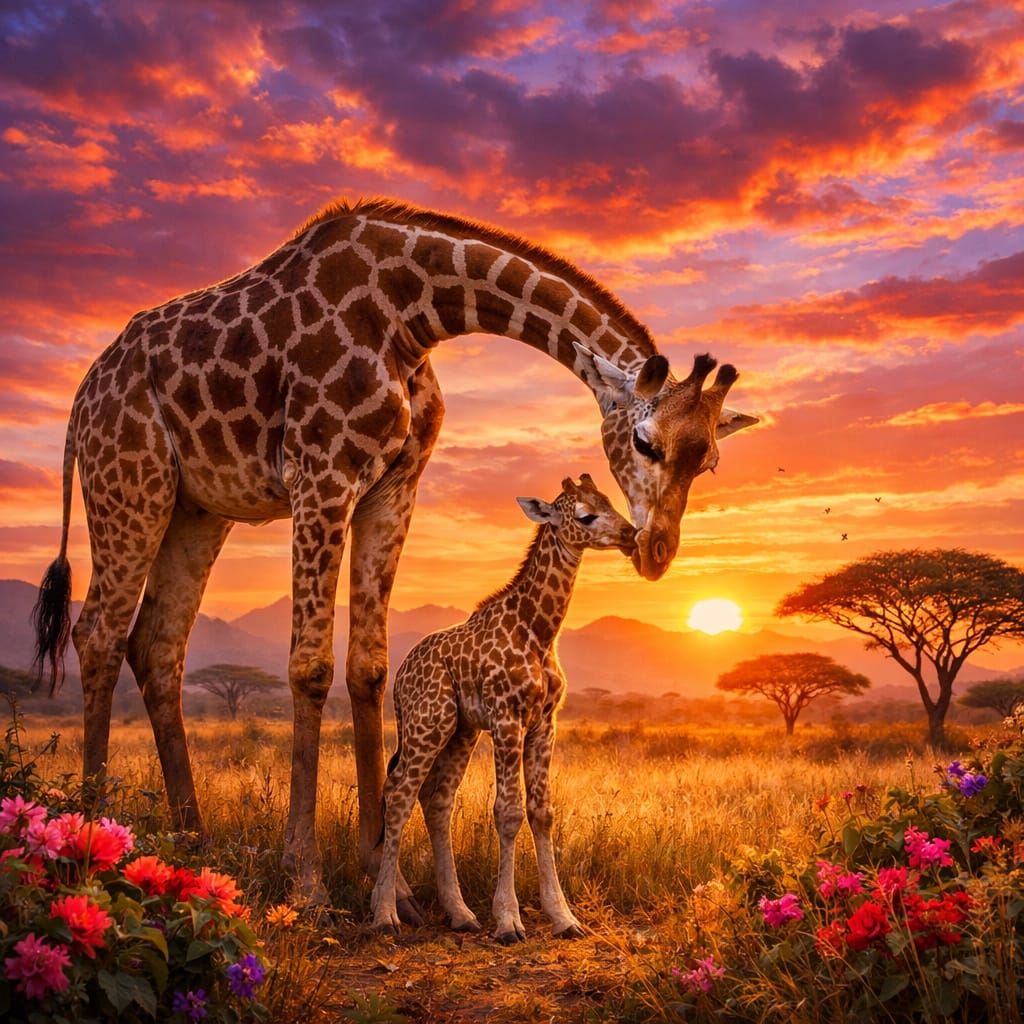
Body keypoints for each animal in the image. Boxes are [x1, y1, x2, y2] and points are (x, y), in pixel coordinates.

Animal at [371, 475, 635, 940]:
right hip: (428, 721)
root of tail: (399, 679)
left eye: (610, 501)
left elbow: (542, 812)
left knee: (436, 799)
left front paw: (563, 917)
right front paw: (509, 919)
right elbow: (508, 812)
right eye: (586, 515)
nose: (631, 534)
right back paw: (385, 913)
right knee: (400, 791)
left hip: (461, 730)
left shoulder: (545, 723)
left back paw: (460, 913)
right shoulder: (507, 718)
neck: (538, 631)